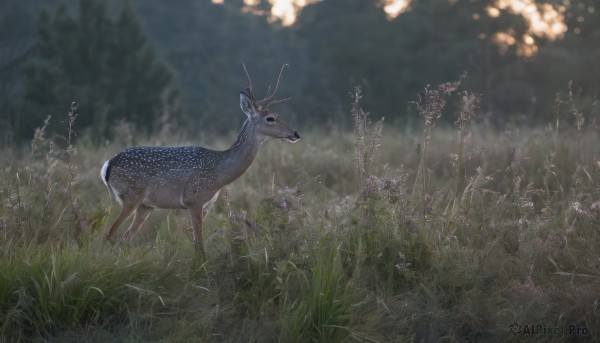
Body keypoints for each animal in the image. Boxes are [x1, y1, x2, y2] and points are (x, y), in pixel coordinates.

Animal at [101, 63, 302, 258]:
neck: (219, 173)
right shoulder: (194, 199)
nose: (295, 133)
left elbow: (197, 245)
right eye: (270, 118)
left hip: (145, 205)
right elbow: (200, 247)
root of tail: (109, 163)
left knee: (125, 239)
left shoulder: (206, 205)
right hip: (131, 195)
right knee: (110, 234)